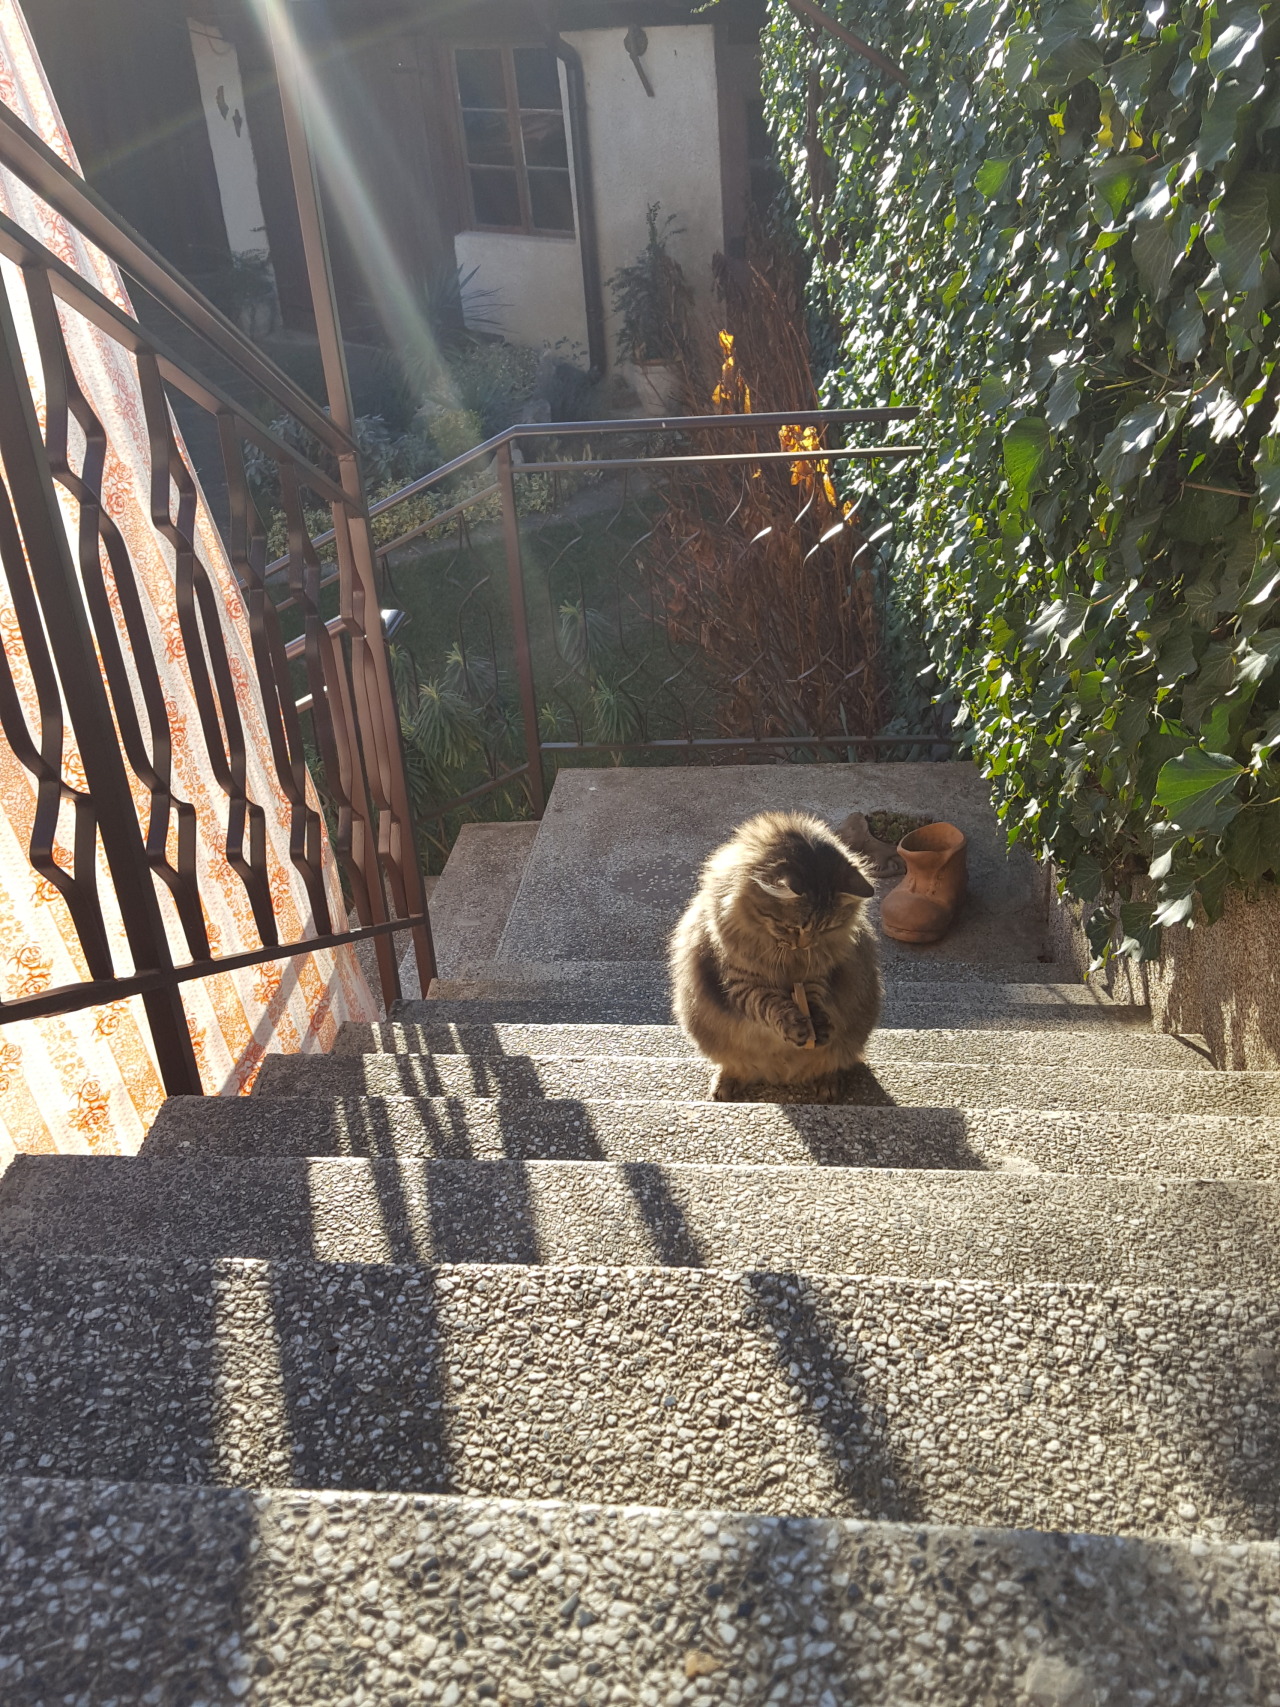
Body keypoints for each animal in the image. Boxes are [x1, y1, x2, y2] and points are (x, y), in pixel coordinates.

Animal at [669, 811, 881, 1101]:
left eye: (825, 928)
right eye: (793, 927)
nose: (805, 945)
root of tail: (782, 1076)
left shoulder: (815, 976)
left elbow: (815, 1001)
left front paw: (818, 1024)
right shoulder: (742, 980)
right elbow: (769, 1005)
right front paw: (794, 1025)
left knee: (832, 1062)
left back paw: (827, 1085)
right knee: (736, 1064)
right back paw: (726, 1084)